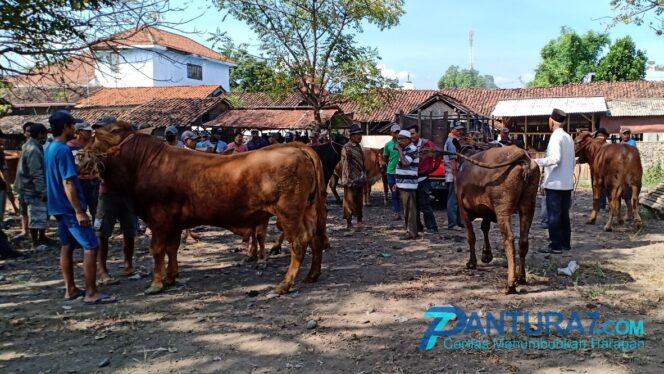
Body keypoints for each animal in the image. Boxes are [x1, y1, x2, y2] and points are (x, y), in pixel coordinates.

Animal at [80, 122, 330, 296]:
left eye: (108, 132)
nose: (81, 157)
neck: (146, 162)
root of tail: (299, 149)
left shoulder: (159, 218)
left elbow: (157, 249)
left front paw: (156, 283)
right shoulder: (174, 222)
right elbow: (172, 248)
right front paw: (171, 277)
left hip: (288, 213)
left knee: (299, 243)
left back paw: (284, 285)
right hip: (307, 210)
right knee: (314, 237)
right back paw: (312, 275)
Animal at [454, 146, 544, 296]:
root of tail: (521, 154)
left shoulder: (463, 210)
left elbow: (471, 237)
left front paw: (472, 262)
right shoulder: (486, 211)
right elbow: (484, 227)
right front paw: (486, 254)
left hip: (503, 210)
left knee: (509, 240)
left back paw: (510, 285)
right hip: (528, 206)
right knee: (523, 241)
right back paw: (521, 277)